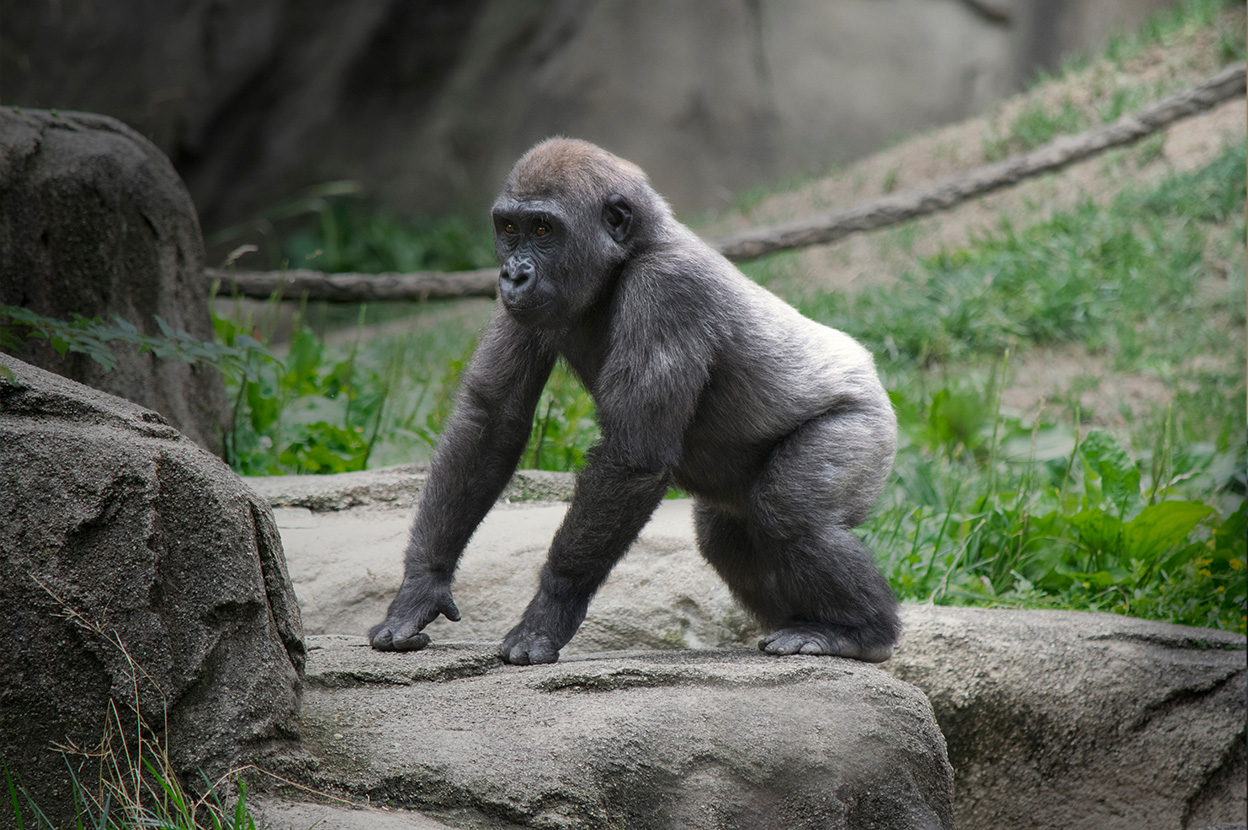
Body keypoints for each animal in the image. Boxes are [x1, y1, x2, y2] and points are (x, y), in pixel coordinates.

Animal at [364, 139, 903, 664]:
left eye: (544, 228)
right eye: (510, 228)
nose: (513, 275)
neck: (630, 252)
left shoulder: (666, 289)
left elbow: (631, 457)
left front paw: (550, 610)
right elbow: (490, 419)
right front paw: (422, 586)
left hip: (867, 426)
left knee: (791, 515)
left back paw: (858, 632)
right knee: (727, 536)